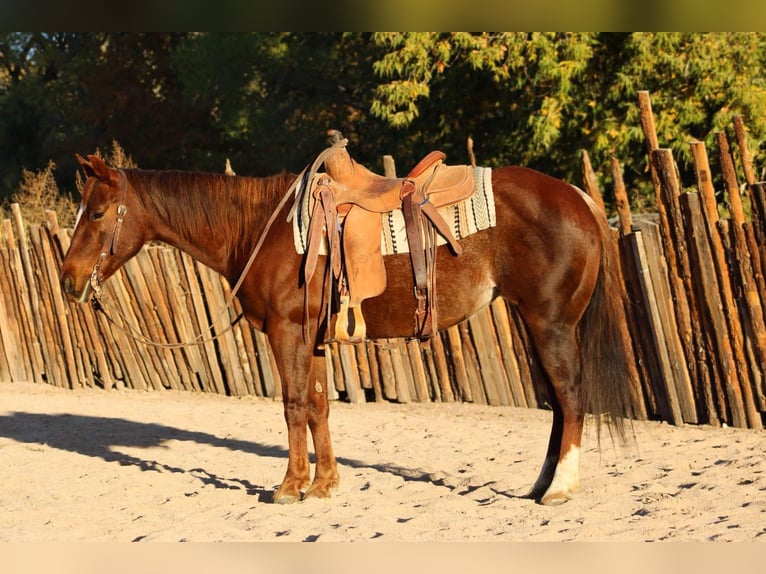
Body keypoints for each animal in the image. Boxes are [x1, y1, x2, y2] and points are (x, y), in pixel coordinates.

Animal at [60, 154, 632, 508]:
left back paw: (560, 488)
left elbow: (293, 405)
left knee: (571, 397)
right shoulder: (311, 337)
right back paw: (539, 485)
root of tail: (579, 198)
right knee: (557, 404)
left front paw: (289, 487)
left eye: (97, 212)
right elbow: (319, 406)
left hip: (550, 324)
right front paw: (325, 484)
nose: (68, 280)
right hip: (534, 324)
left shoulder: (286, 332)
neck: (262, 227)